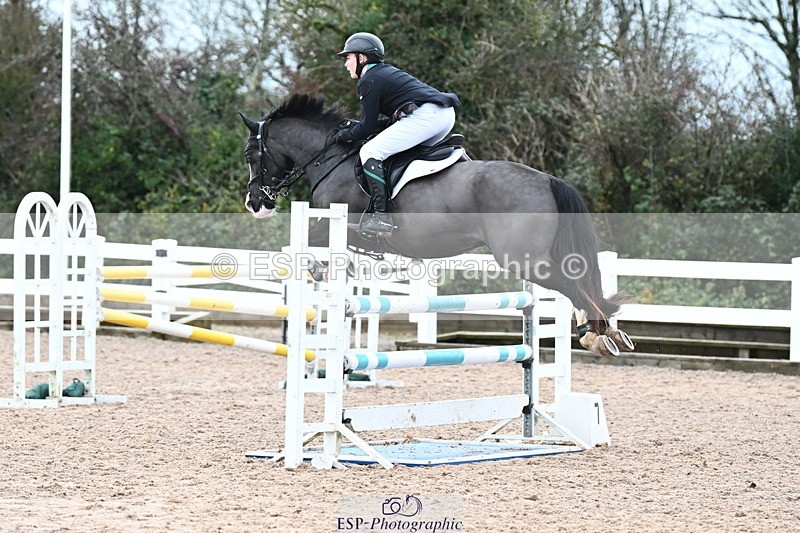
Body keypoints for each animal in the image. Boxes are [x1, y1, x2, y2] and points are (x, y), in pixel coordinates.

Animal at [240, 93, 633, 356]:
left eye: (251, 155)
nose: (255, 203)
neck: (333, 157)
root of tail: (547, 179)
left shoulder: (336, 222)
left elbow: (303, 247)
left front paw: (317, 271)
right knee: (578, 279)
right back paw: (605, 333)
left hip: (523, 259)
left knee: (572, 283)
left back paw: (597, 335)